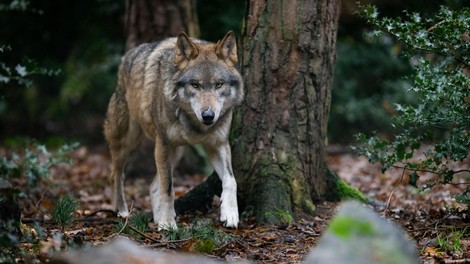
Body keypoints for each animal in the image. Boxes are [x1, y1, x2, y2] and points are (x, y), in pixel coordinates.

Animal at [103, 30, 242, 229]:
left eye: (218, 84)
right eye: (195, 85)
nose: (208, 116)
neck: (195, 124)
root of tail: (126, 57)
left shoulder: (218, 144)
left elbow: (231, 180)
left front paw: (230, 214)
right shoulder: (163, 144)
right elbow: (168, 187)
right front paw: (168, 224)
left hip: (177, 152)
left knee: (152, 186)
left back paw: (156, 218)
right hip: (128, 143)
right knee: (116, 175)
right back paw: (121, 211)